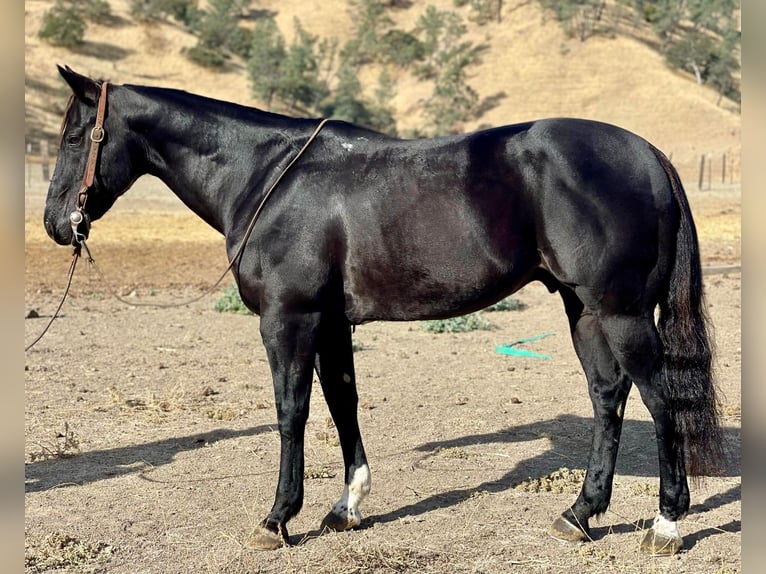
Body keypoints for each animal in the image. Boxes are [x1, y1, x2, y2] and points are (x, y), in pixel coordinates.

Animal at [43, 67, 728, 560]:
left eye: (75, 137)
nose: (55, 224)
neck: (269, 178)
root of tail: (648, 154)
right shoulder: (331, 324)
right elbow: (342, 403)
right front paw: (346, 507)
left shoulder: (288, 320)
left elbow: (291, 413)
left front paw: (277, 519)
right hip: (582, 308)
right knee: (608, 395)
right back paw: (580, 515)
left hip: (622, 313)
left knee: (661, 401)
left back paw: (666, 525)